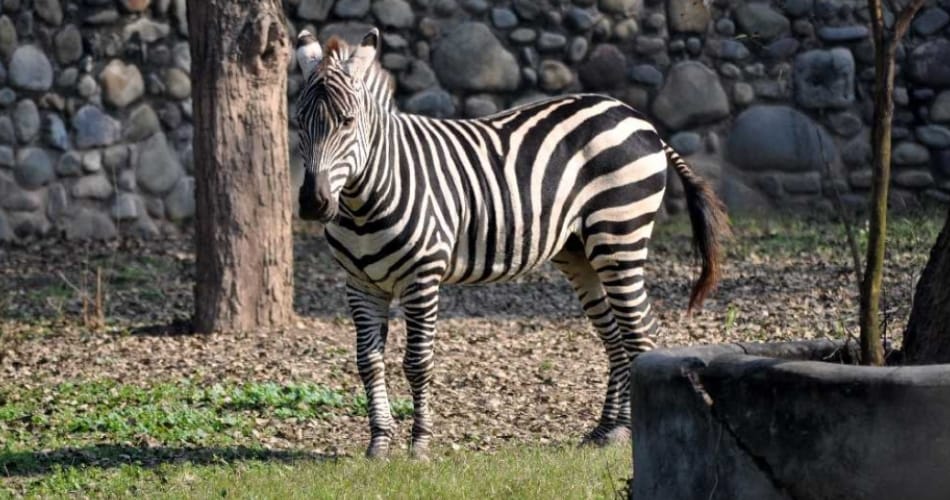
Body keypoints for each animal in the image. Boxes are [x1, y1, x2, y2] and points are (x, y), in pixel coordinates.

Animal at [294, 28, 729, 459]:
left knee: (640, 332)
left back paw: (634, 434)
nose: (314, 202)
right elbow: (368, 362)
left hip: (619, 236)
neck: (362, 202)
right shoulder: (360, 284)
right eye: (297, 121)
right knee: (616, 337)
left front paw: (419, 446)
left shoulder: (422, 277)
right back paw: (609, 430)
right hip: (579, 252)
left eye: (347, 122)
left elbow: (417, 363)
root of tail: (638, 118)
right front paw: (379, 444)